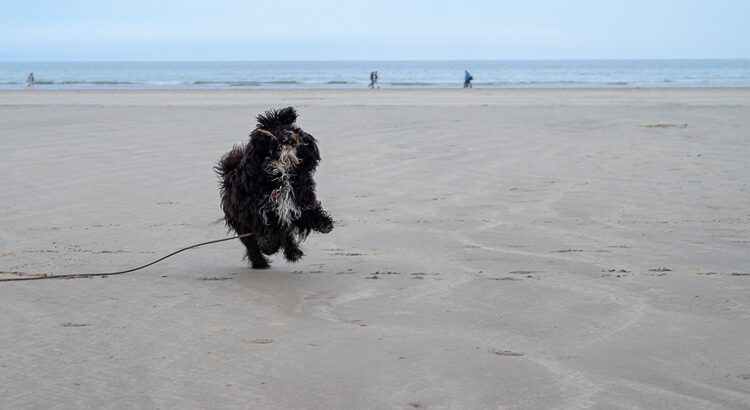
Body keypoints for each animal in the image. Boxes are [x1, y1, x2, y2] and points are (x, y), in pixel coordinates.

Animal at [214, 106, 332, 270]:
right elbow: (272, 232)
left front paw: (323, 223)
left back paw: (293, 252)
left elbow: (307, 213)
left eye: (295, 130)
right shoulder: (259, 212)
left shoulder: (296, 202)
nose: (289, 133)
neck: (282, 174)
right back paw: (261, 261)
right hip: (241, 223)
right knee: (252, 245)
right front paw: (269, 246)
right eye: (277, 129)